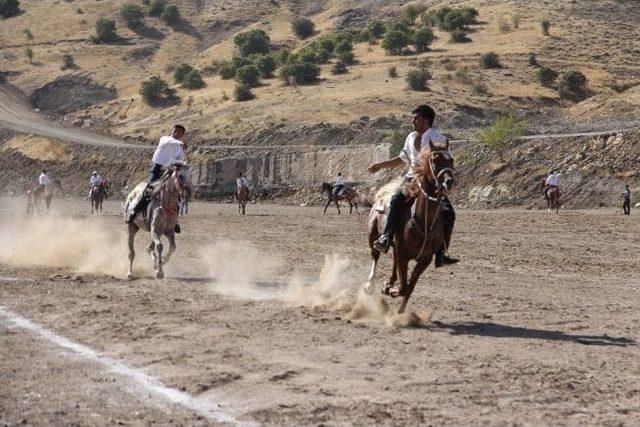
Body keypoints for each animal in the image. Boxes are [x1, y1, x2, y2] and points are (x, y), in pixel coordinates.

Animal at [364, 144, 456, 314]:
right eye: (434, 159)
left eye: (451, 159)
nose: (449, 181)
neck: (424, 220)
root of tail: (382, 197)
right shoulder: (404, 255)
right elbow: (403, 286)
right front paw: (389, 290)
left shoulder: (425, 258)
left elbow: (409, 287)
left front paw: (399, 308)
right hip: (373, 235)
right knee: (375, 255)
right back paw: (370, 284)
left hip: (396, 248)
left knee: (393, 259)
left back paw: (389, 282)